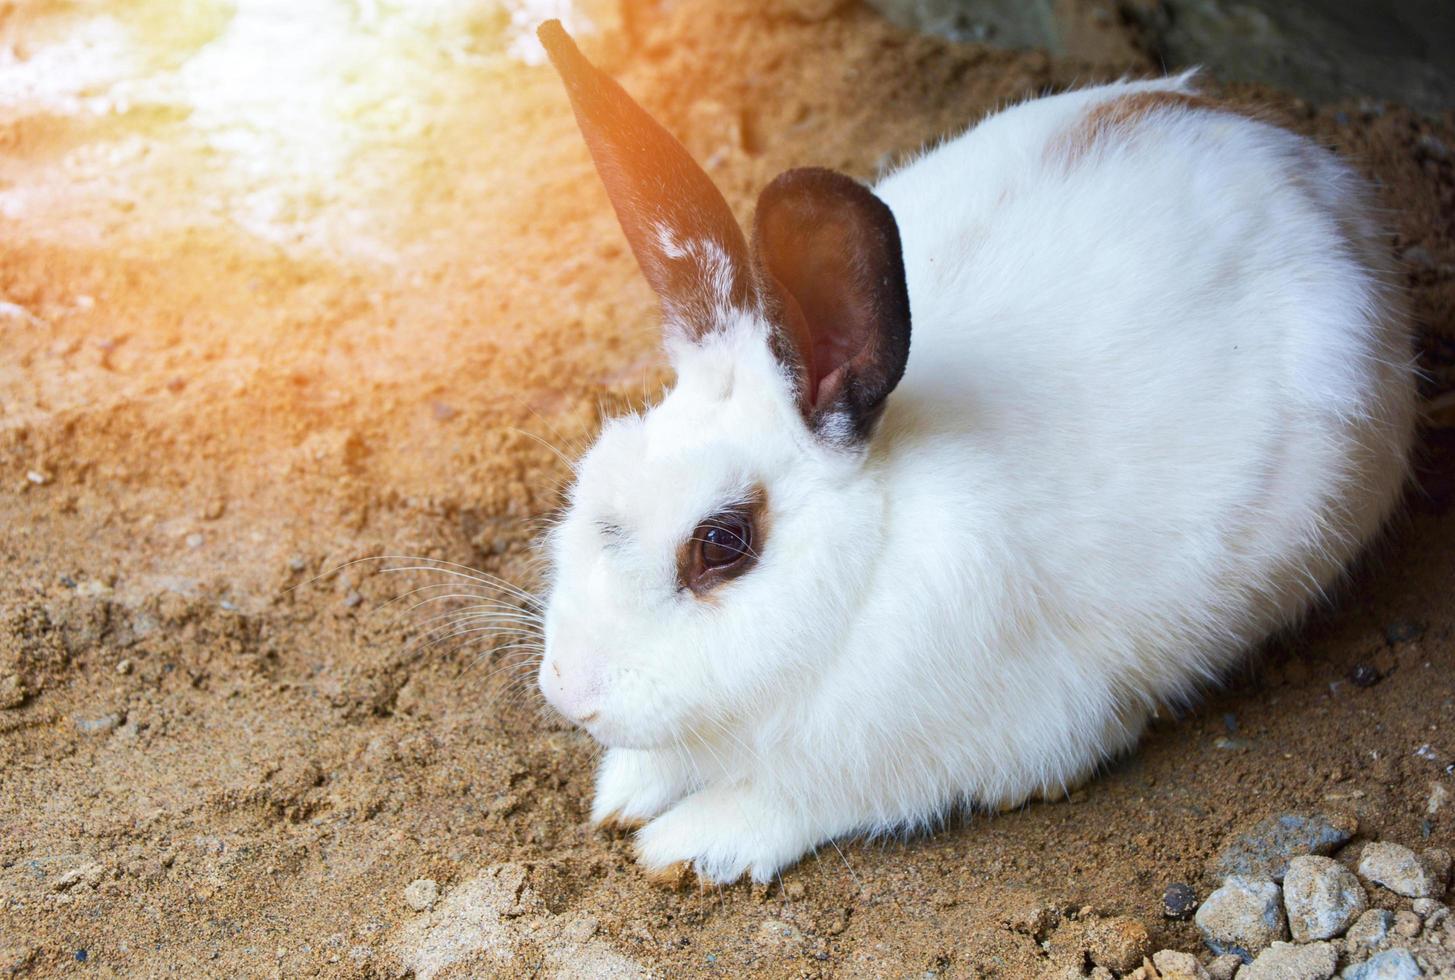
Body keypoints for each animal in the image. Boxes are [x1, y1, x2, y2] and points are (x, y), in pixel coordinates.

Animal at [529, 20, 1414, 884]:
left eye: (721, 542)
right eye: (592, 477)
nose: (570, 694)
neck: (873, 556)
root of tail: (1291, 155)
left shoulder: (964, 747)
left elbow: (790, 799)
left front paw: (685, 844)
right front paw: (623, 791)